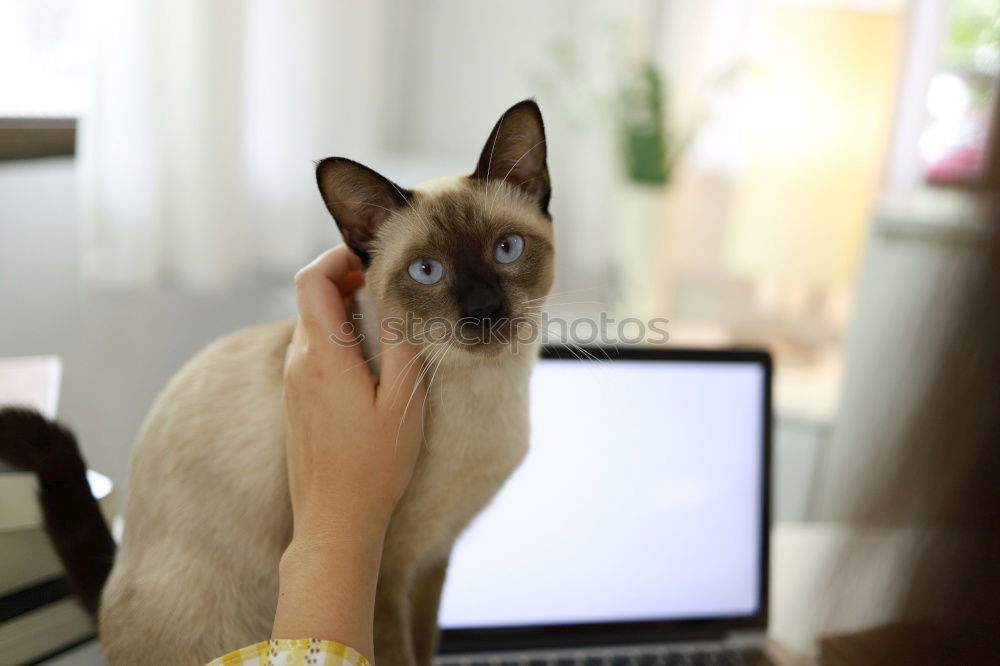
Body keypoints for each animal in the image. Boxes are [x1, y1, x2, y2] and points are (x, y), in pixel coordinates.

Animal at [93, 100, 556, 664]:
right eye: (427, 271)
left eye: (507, 249)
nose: (485, 311)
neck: (486, 390)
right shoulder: (389, 577)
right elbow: (399, 653)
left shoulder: (433, 560)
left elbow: (426, 645)